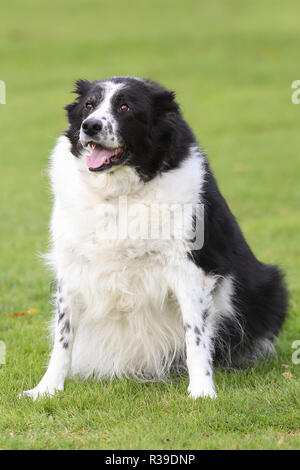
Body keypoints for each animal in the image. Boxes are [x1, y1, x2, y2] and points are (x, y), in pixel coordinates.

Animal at [22, 77, 288, 400]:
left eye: (125, 107)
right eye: (89, 105)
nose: (90, 126)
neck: (120, 196)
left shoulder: (191, 272)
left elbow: (195, 336)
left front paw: (202, 391)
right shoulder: (72, 268)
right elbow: (63, 337)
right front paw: (47, 388)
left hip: (272, 285)